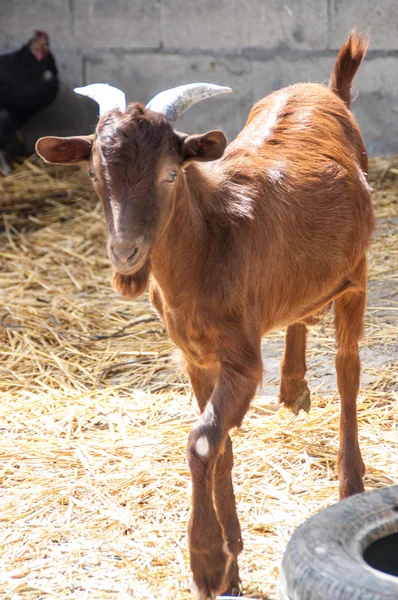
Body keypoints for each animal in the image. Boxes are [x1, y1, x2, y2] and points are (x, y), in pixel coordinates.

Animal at [36, 34, 374, 600]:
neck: (212, 241)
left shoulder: (242, 359)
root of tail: (328, 91)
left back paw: (350, 483)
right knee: (303, 315)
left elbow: (200, 443)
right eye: (93, 175)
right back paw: (293, 388)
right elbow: (221, 446)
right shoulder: (195, 357)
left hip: (358, 272)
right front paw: (231, 562)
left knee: (348, 370)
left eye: (170, 174)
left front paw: (208, 561)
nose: (126, 254)